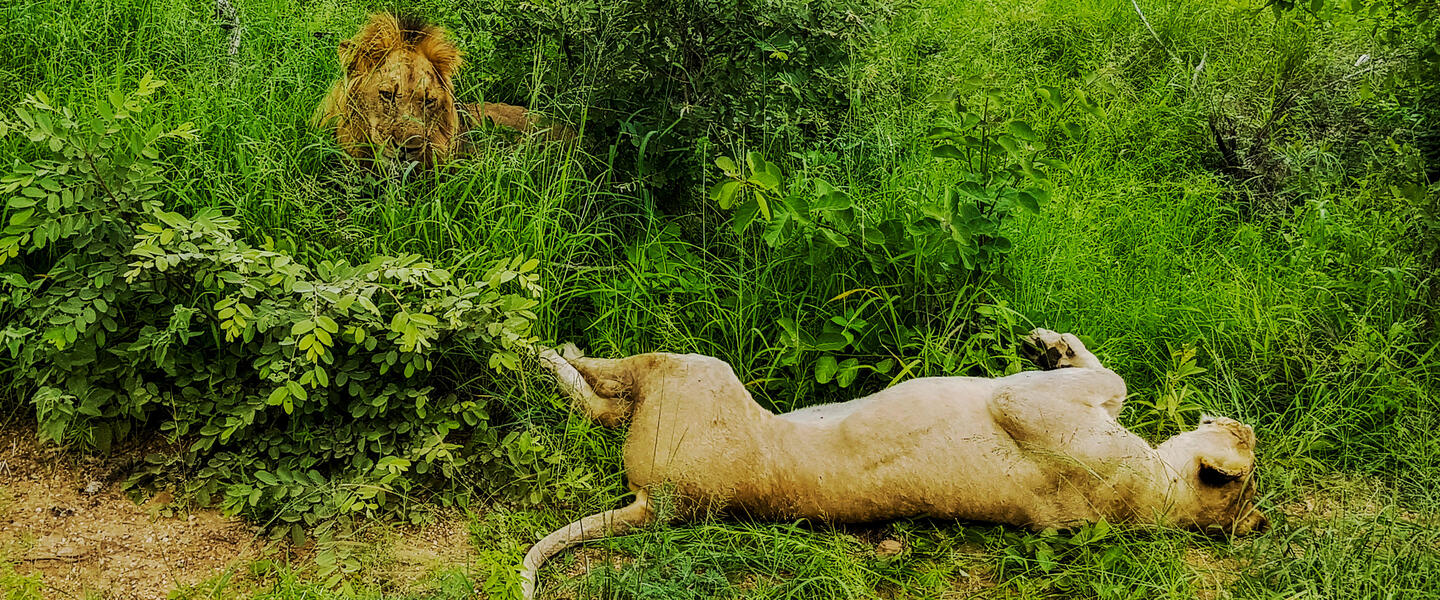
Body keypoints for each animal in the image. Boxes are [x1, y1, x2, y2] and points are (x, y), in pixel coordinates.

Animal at [524, 329, 1267, 595]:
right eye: (1245, 436)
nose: (1236, 417)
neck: (1161, 496)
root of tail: (666, 505)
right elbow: (1109, 376)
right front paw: (1054, 343)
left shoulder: (1023, 403)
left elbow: (1109, 378)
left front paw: (1050, 346)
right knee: (604, 407)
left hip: (695, 371)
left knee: (603, 390)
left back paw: (545, 350)